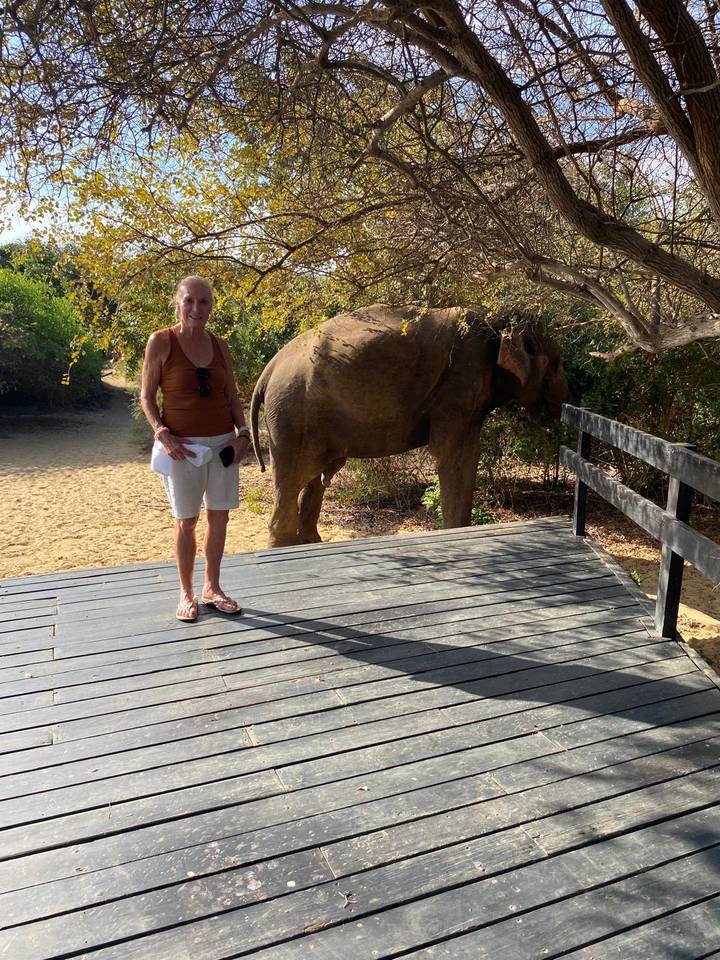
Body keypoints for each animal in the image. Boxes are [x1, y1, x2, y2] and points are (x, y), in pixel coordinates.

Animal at [250, 305, 570, 548]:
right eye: (557, 362)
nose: (567, 406)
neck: (497, 321)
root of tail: (269, 370)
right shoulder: (460, 383)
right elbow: (455, 455)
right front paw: (456, 531)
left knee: (315, 477)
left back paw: (310, 543)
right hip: (293, 415)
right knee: (294, 479)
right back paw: (284, 547)